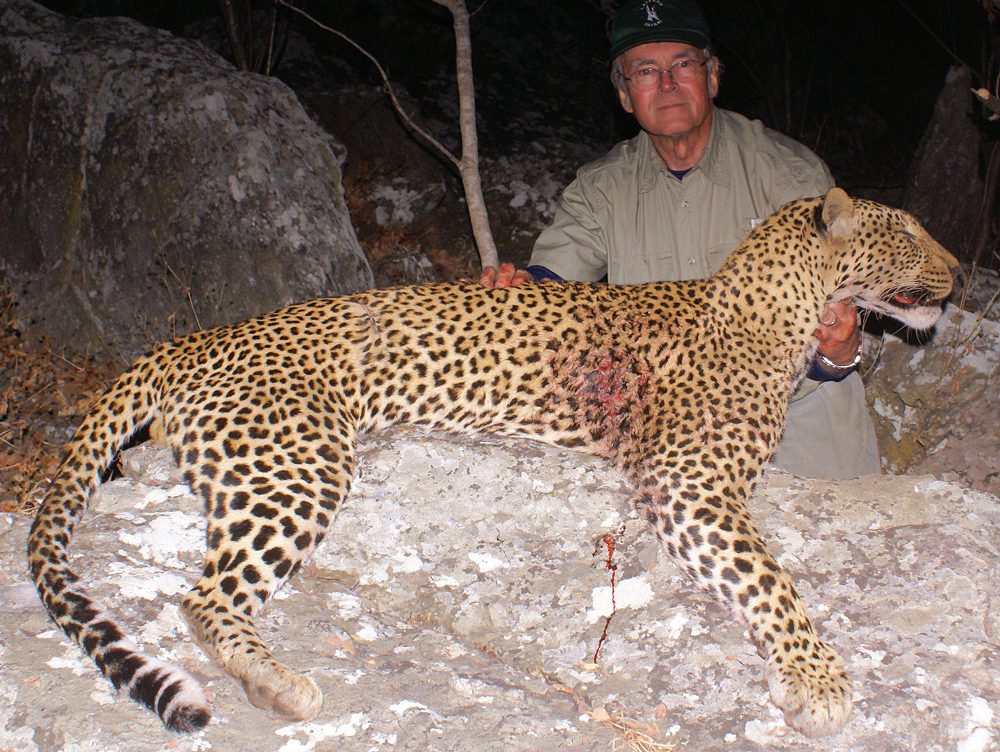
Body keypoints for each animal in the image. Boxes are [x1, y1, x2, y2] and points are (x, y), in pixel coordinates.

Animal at [28, 188, 957, 738]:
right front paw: (821, 677)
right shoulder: (691, 485)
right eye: (911, 233)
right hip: (300, 463)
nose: (957, 272)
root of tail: (188, 340)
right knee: (205, 595)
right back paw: (278, 683)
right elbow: (771, 579)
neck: (779, 310)